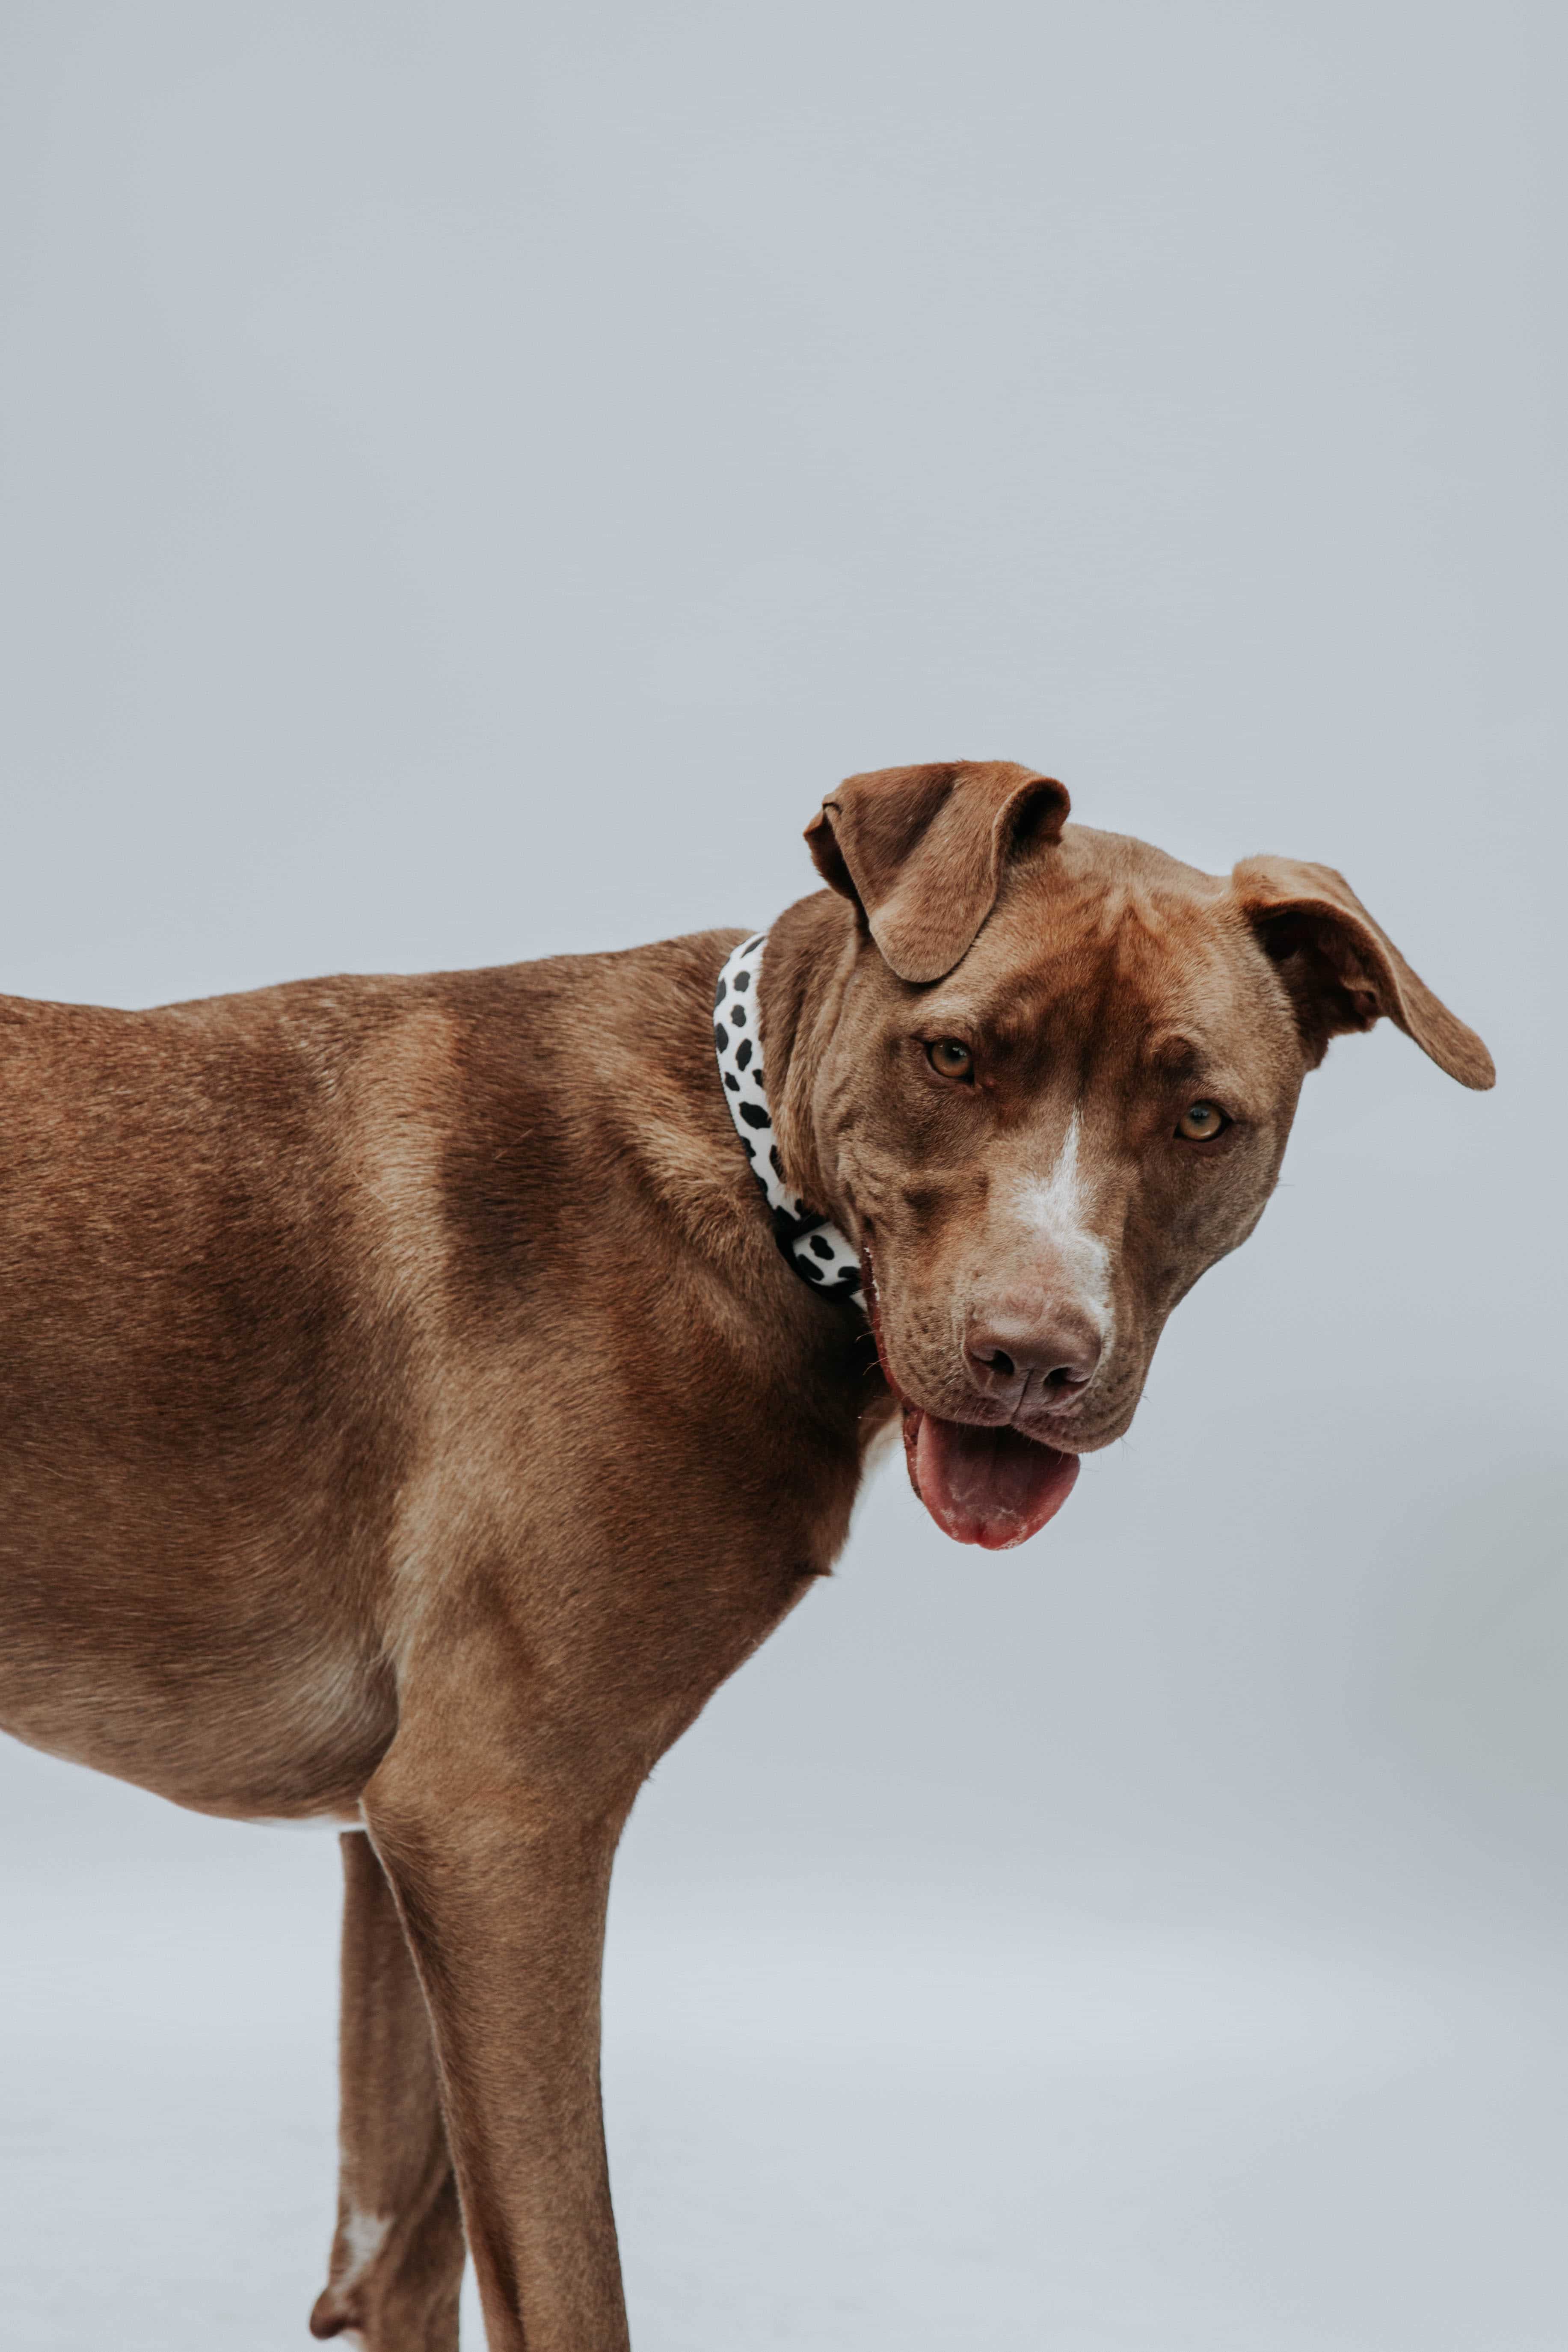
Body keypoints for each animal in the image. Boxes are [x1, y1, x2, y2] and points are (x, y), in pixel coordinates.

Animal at [0, 760, 1492, 2349]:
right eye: (953, 1056)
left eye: (1204, 1116)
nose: (1033, 1357)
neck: (748, 1168)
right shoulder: (497, 1819)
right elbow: (572, 2278)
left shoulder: (391, 1839)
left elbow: (402, 2249)